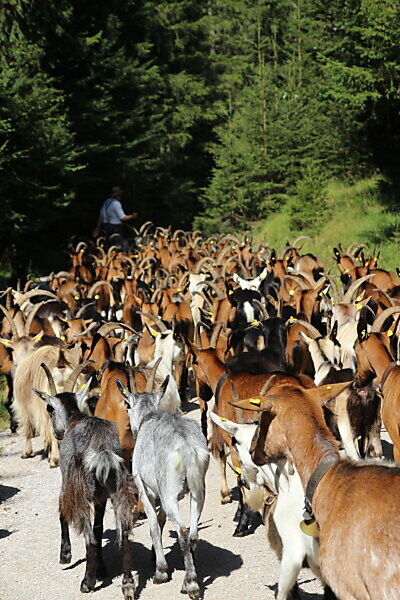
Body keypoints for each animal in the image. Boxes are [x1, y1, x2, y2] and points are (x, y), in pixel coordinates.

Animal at [33, 364, 139, 596]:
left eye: (49, 408)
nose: (56, 432)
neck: (75, 418)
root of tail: (102, 450)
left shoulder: (68, 482)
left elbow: (63, 512)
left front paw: (65, 555)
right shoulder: (100, 498)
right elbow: (99, 530)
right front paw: (101, 568)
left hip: (81, 490)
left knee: (88, 538)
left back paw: (86, 582)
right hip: (119, 488)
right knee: (124, 534)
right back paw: (127, 584)